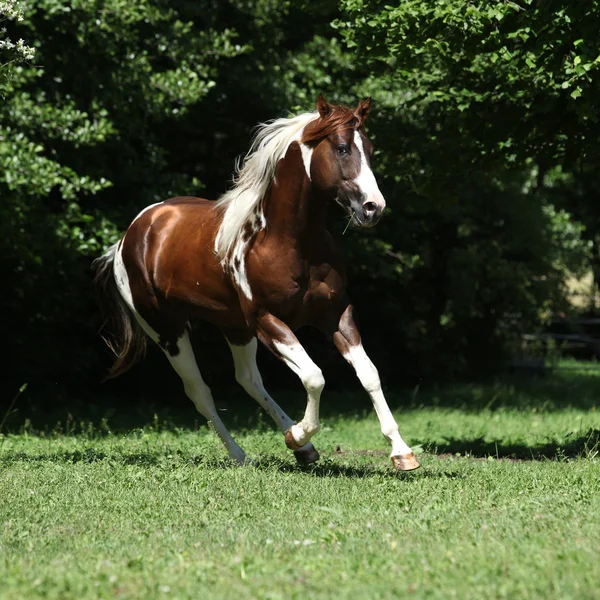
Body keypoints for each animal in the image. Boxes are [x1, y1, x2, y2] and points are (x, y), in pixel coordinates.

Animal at [95, 94, 422, 472]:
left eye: (368, 149)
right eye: (341, 149)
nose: (373, 208)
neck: (287, 241)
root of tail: (131, 234)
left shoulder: (336, 314)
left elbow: (368, 373)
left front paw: (402, 452)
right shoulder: (268, 321)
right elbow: (314, 376)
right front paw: (297, 434)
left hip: (233, 326)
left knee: (248, 379)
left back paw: (303, 451)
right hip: (167, 331)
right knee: (200, 391)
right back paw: (242, 454)